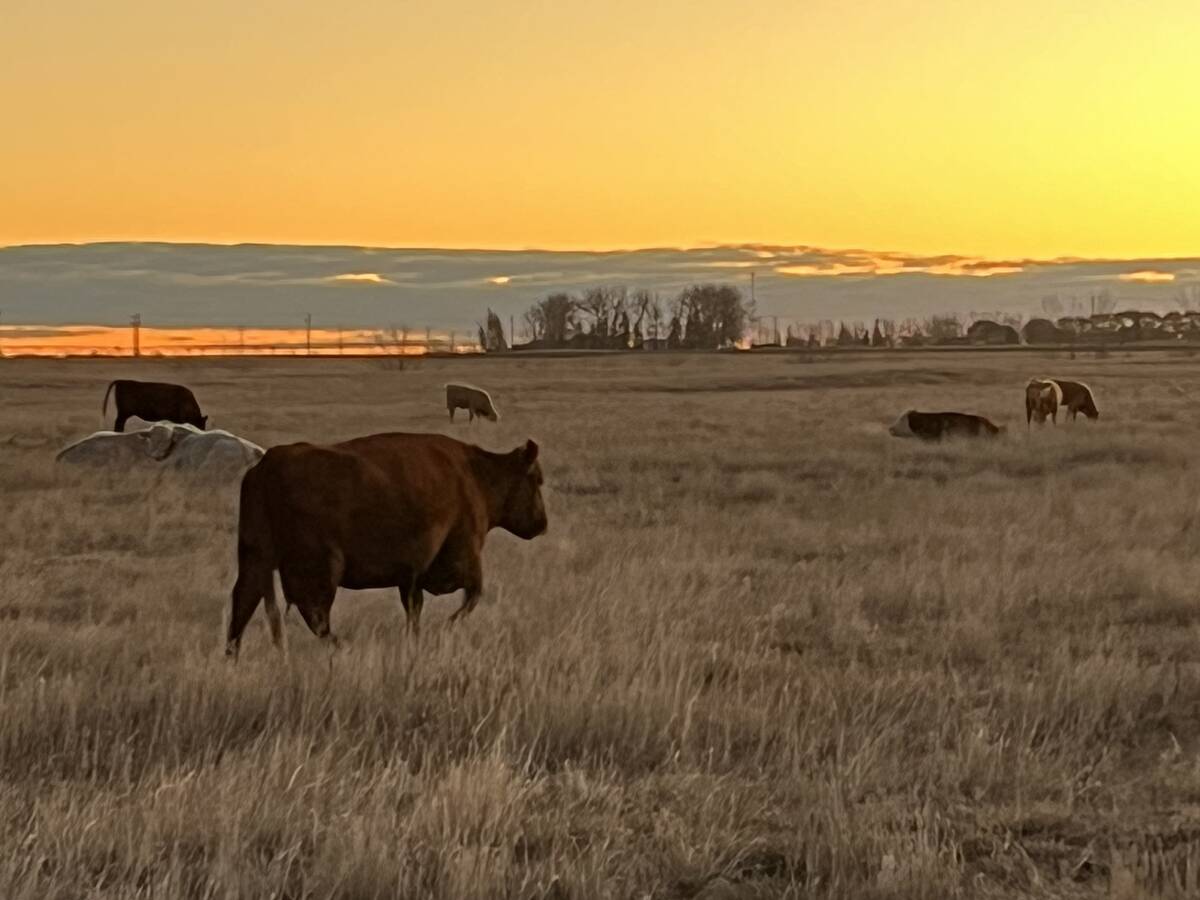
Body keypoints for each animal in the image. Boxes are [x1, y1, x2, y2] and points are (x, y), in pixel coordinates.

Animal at [225, 432, 547, 657]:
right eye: (536, 480)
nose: (542, 523)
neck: (477, 474)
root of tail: (267, 466)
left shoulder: (411, 577)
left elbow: (415, 611)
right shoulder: (465, 558)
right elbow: (471, 597)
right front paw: (443, 630)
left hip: (255, 558)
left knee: (244, 601)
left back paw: (232, 656)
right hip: (322, 567)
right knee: (315, 615)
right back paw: (343, 647)